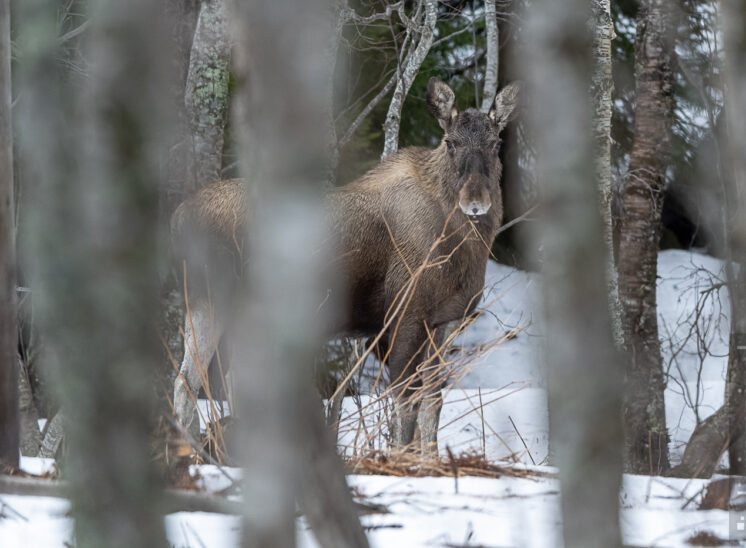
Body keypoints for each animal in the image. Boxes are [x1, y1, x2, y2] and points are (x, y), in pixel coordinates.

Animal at [170, 79, 516, 452]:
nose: (475, 202)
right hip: (220, 301)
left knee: (191, 380)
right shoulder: (406, 314)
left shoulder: (443, 322)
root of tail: (178, 221)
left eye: (496, 143)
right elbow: (406, 401)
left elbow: (432, 402)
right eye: (450, 142)